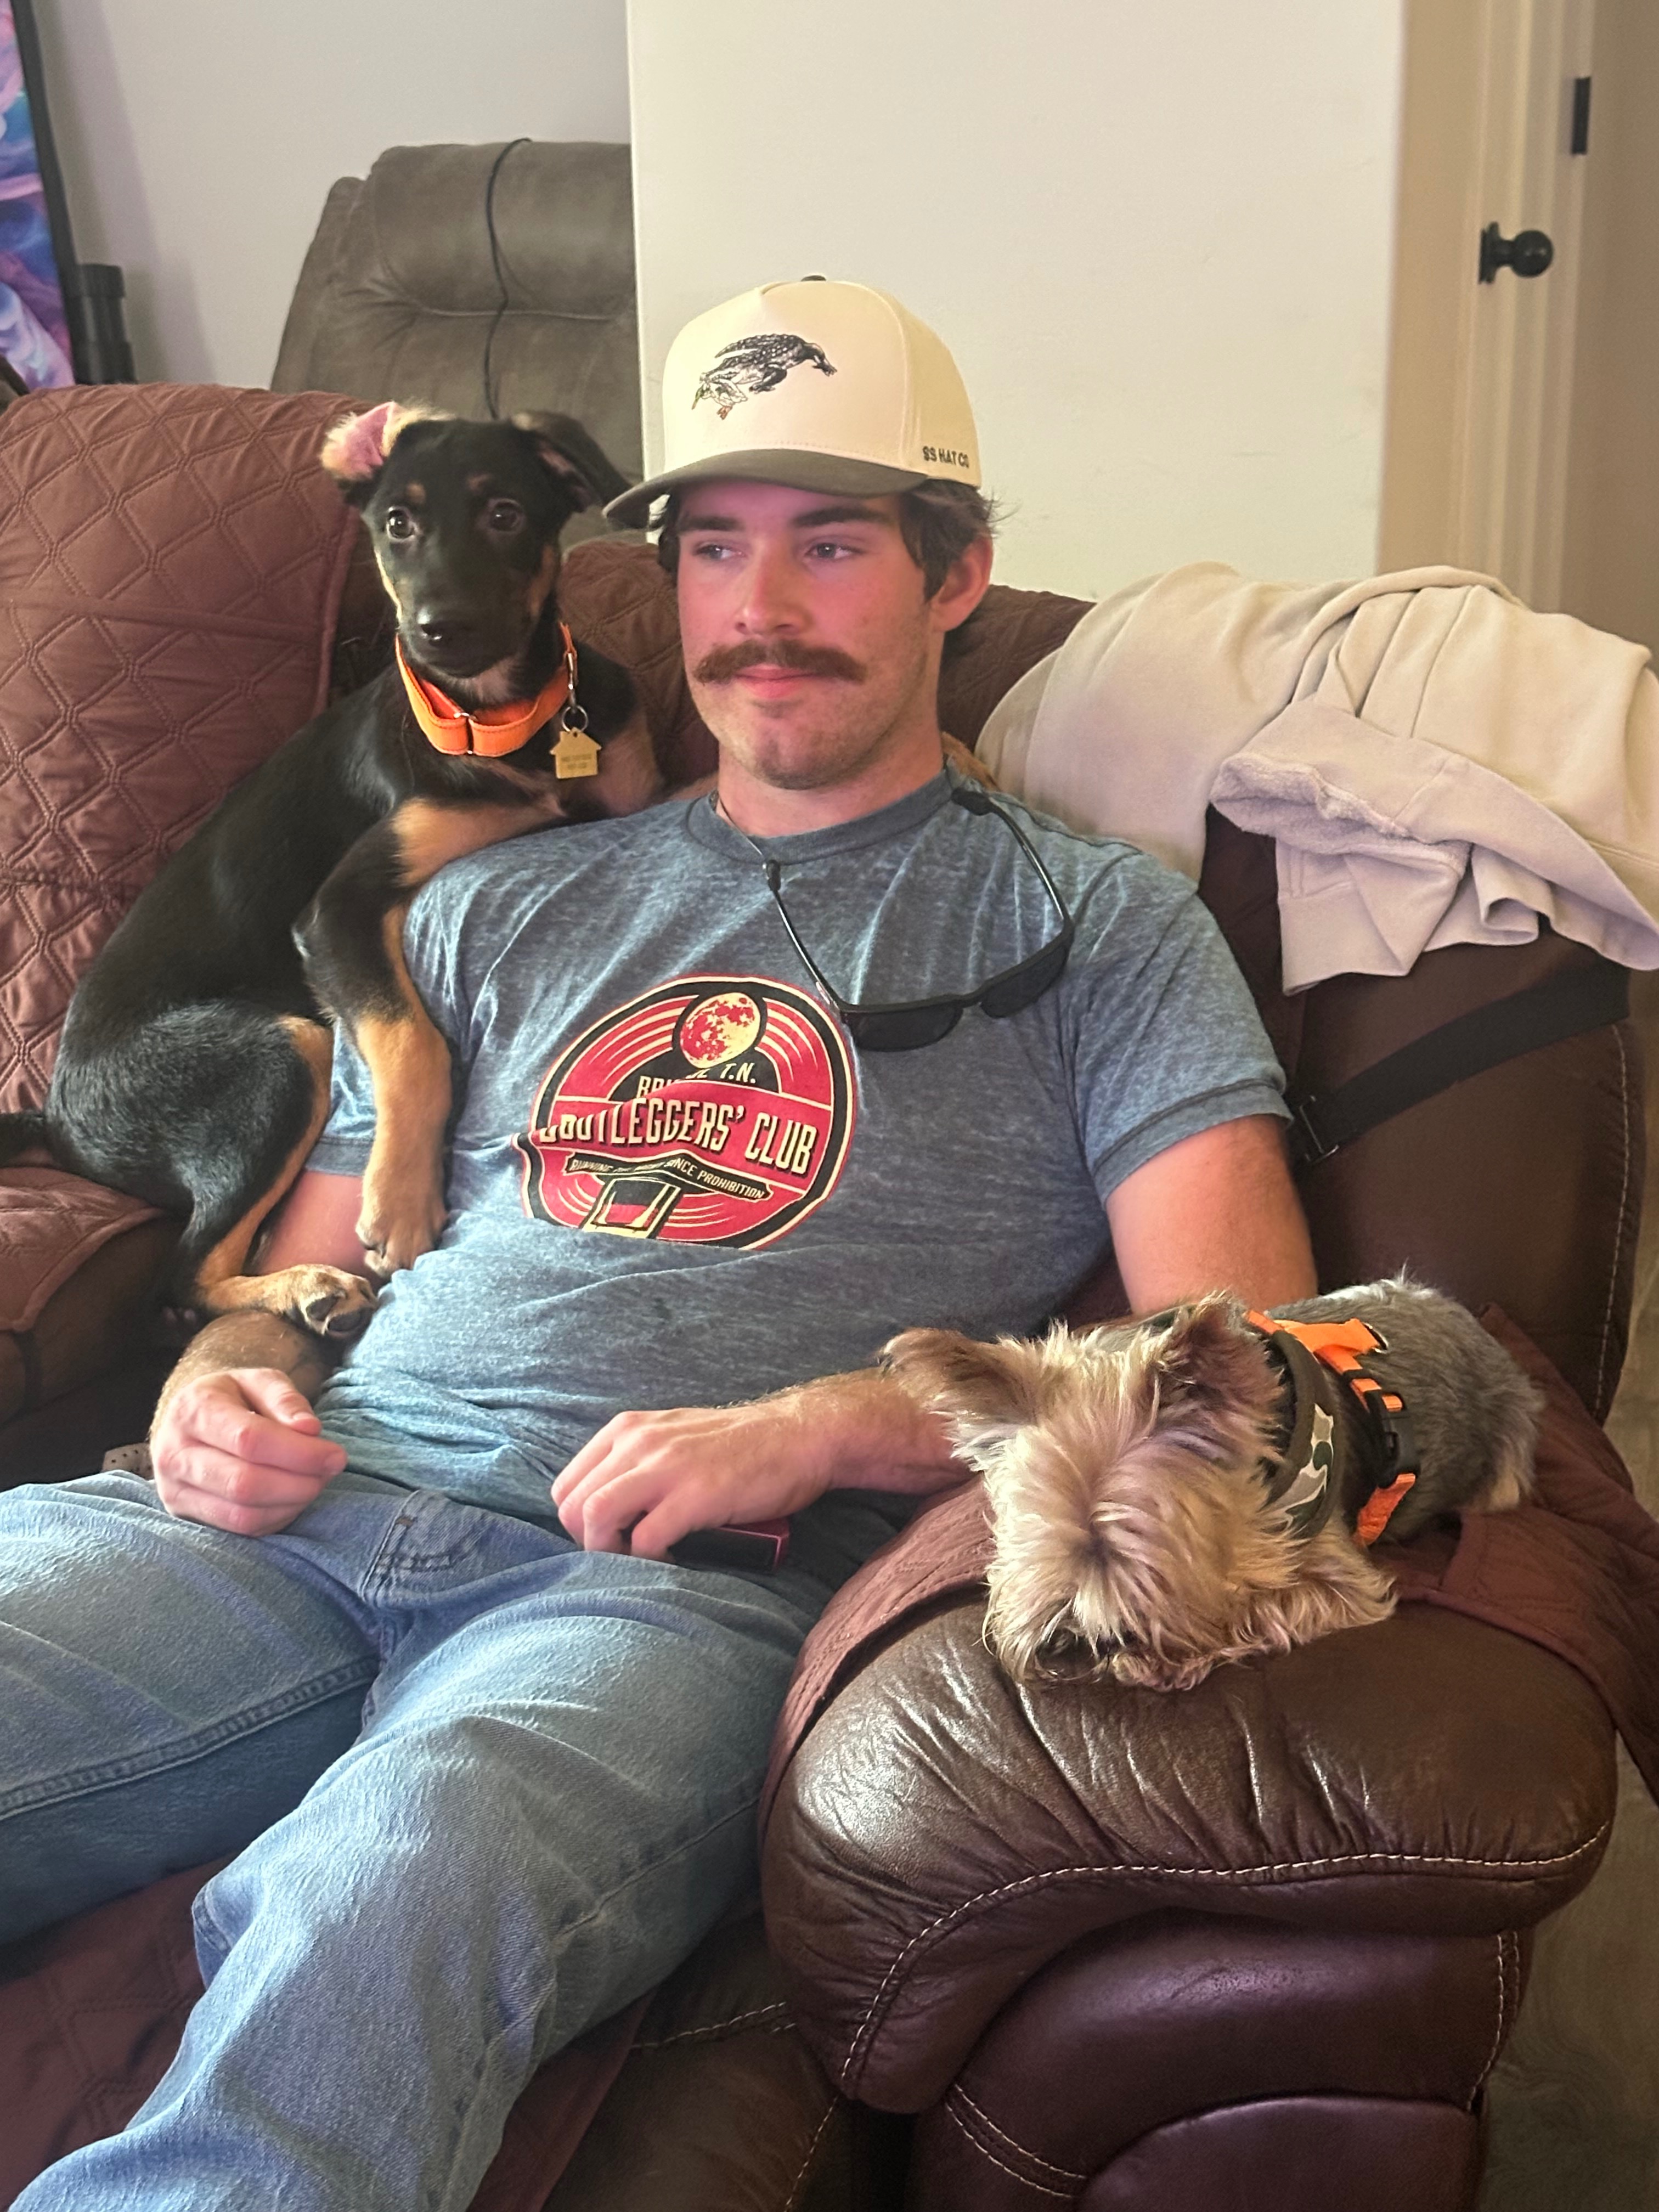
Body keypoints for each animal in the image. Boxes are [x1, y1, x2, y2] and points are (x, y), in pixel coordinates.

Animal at [0, 403, 660, 1339]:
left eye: (505, 513)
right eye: (397, 525)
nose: (440, 630)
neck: (499, 725)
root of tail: (56, 1120)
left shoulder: (636, 792)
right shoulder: (336, 912)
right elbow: (411, 1038)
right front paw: (401, 1203)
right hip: (281, 1050)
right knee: (181, 1282)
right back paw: (308, 1287)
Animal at [884, 1278, 1541, 1692]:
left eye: (1153, 1566)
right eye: (1027, 1543)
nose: (1081, 1644)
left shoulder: (1345, 1583)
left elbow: (1260, 1605)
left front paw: (1173, 1658)